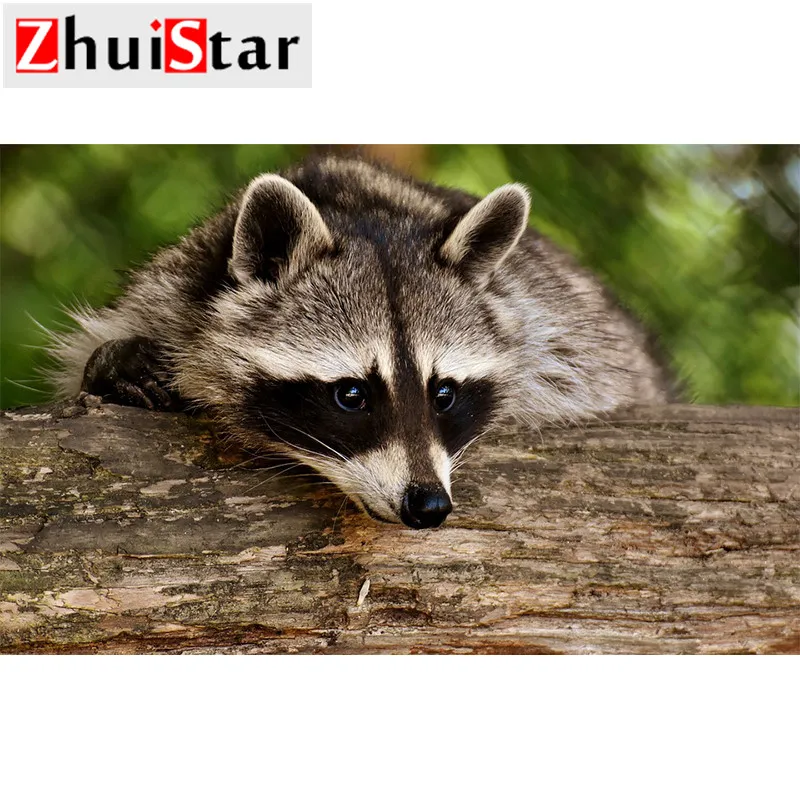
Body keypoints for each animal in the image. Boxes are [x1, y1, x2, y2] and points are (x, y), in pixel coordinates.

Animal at [49, 156, 670, 528]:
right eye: (351, 395)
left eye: (444, 394)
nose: (429, 505)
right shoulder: (169, 290)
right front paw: (117, 365)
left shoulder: (556, 327)